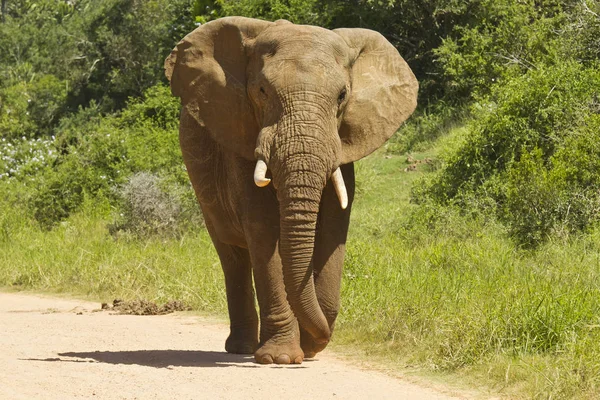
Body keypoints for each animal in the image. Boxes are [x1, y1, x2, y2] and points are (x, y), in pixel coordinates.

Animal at [164, 17, 418, 364]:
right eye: (261, 91)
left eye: (342, 95)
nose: (319, 340)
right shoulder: (241, 136)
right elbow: (262, 229)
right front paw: (281, 358)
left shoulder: (342, 148)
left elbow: (334, 228)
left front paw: (310, 347)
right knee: (232, 256)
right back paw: (243, 348)